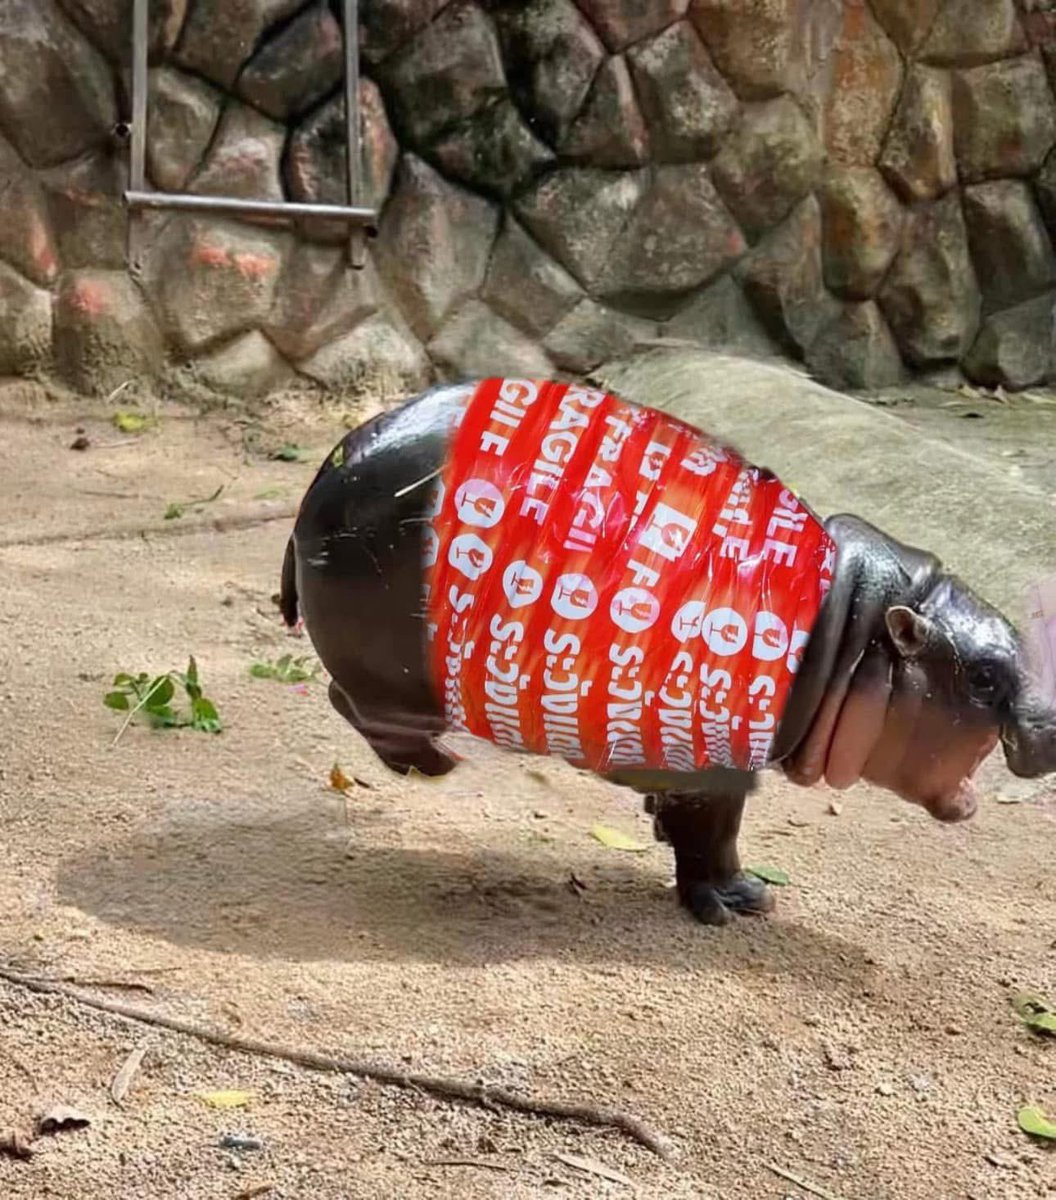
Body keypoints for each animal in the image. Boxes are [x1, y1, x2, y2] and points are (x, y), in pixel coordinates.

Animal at [279, 377, 1056, 926]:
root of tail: (323, 472)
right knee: (355, 705)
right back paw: (438, 765)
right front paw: (737, 904)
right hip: (396, 677)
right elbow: (712, 835)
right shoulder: (720, 765)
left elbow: (683, 821)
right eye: (983, 676)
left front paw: (690, 858)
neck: (851, 631)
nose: (1046, 723)